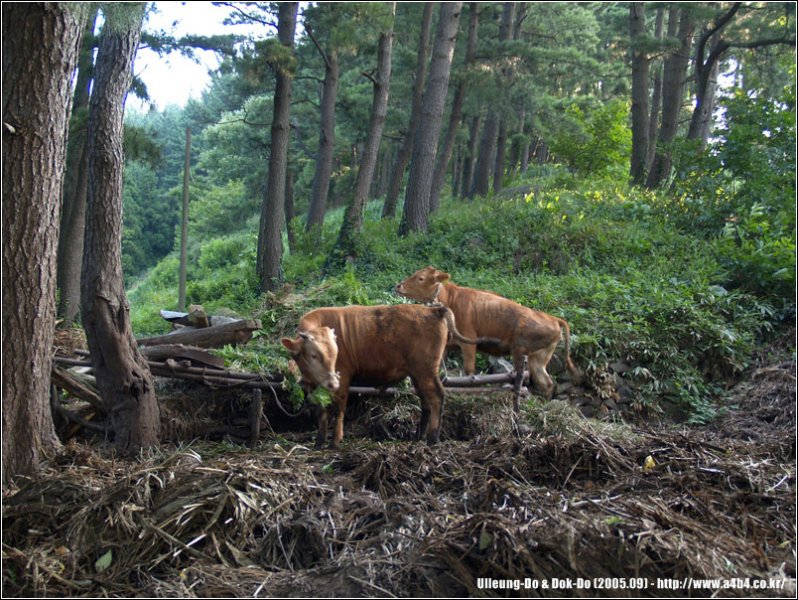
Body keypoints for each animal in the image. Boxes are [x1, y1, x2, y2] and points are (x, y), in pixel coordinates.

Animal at [284, 304, 490, 446]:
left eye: (335, 353)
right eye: (313, 355)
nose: (332, 381)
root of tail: (434, 310)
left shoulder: (343, 379)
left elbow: (339, 408)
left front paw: (335, 441)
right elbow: (322, 411)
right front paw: (319, 441)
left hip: (426, 371)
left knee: (437, 397)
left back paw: (432, 437)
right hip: (417, 374)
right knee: (426, 402)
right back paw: (418, 436)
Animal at [396, 266, 584, 410]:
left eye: (420, 278)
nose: (398, 285)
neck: (448, 300)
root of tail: (553, 318)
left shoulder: (468, 341)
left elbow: (469, 370)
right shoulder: (447, 344)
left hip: (520, 349)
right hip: (539, 357)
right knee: (546, 381)